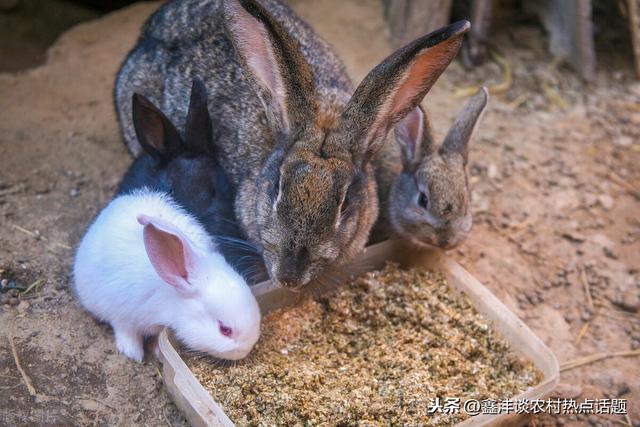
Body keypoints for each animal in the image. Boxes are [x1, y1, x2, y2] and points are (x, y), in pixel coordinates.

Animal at [75, 190, 262, 362]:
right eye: (225, 330)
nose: (247, 349)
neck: (172, 299)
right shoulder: (122, 313)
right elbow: (126, 331)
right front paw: (133, 353)